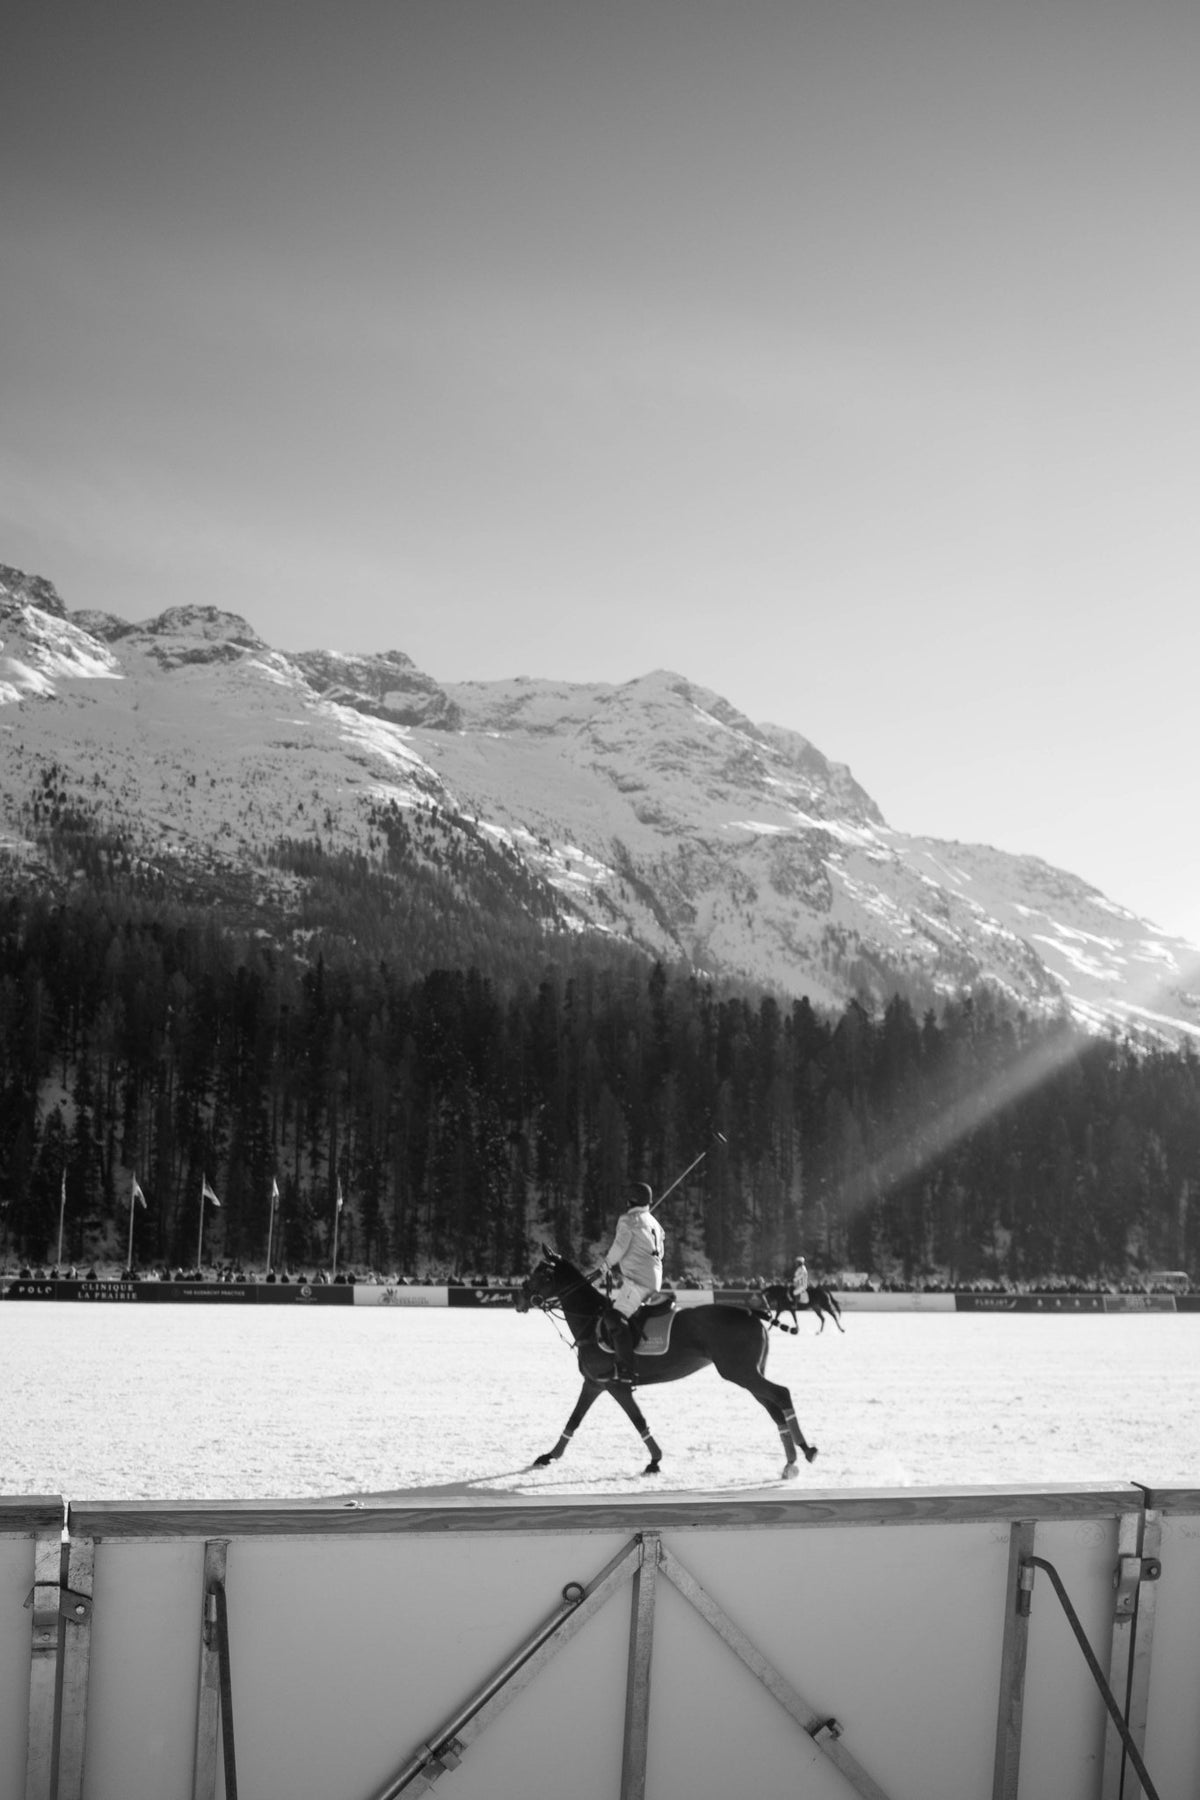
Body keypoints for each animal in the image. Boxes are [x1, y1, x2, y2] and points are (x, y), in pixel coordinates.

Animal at [518, 1245, 816, 1483]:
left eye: (543, 1273)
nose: (520, 1300)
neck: (591, 1320)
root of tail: (752, 1312)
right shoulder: (594, 1383)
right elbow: (574, 1419)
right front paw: (549, 1455)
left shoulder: (615, 1385)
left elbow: (638, 1420)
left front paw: (655, 1460)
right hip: (747, 1372)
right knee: (774, 1408)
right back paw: (790, 1462)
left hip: (739, 1371)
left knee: (781, 1394)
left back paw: (806, 1450)